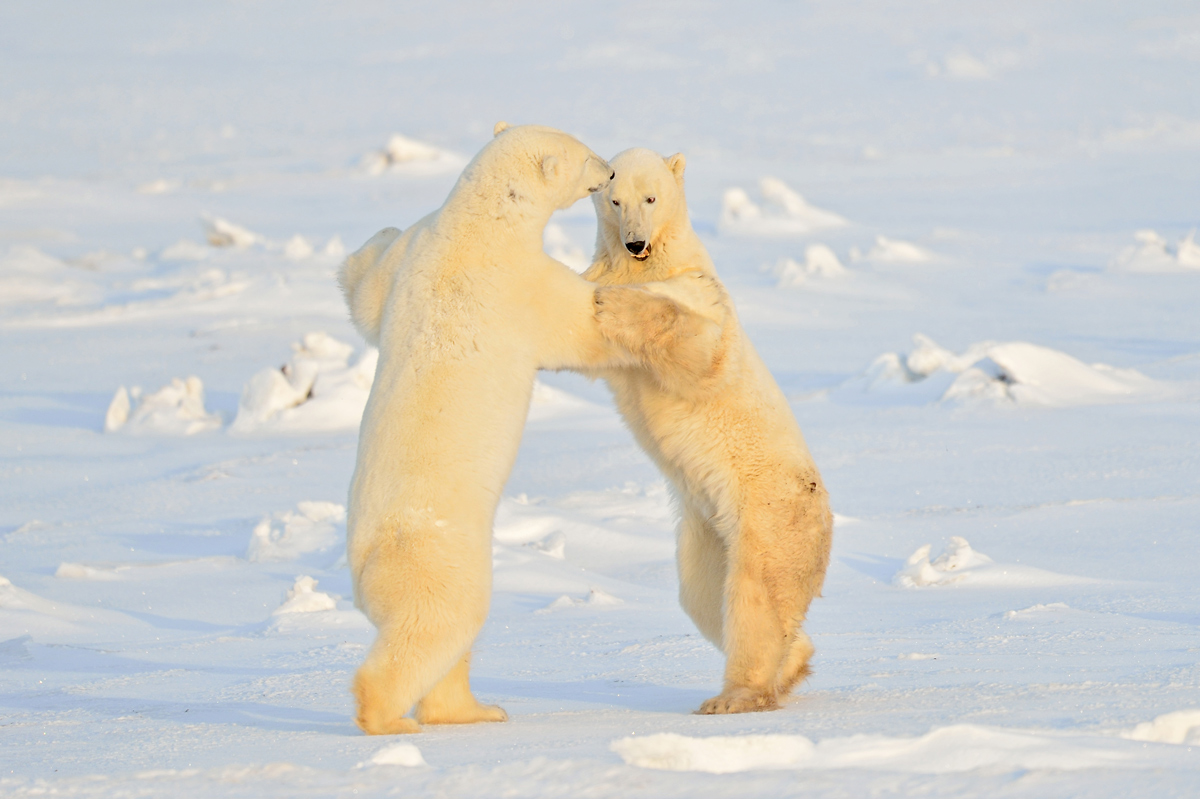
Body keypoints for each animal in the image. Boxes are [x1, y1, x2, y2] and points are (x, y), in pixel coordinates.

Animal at [333, 122, 624, 734]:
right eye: (586, 155)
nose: (611, 171)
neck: (474, 224)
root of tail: (365, 574)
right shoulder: (519, 281)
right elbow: (579, 324)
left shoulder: (414, 253)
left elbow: (370, 299)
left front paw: (377, 234)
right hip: (439, 560)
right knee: (436, 625)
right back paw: (391, 718)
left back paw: (476, 709)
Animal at [583, 149, 835, 715]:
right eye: (614, 199)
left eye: (651, 197)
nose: (635, 243)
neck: (657, 262)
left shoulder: (702, 293)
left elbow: (700, 349)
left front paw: (613, 302)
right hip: (706, 533)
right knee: (701, 597)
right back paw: (793, 665)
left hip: (766, 514)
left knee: (755, 595)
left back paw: (737, 695)